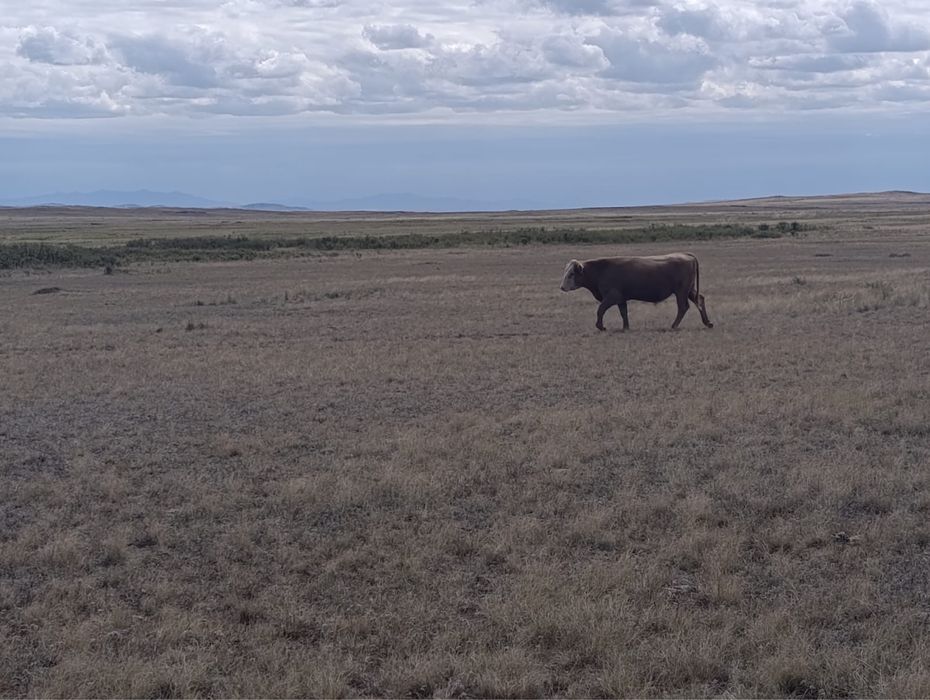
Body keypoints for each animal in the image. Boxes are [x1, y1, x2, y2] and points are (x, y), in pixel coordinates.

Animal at [560, 253, 713, 331]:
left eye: (571, 274)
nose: (562, 287)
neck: (600, 270)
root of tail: (687, 256)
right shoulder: (621, 299)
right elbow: (623, 313)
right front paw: (626, 327)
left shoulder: (612, 297)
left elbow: (600, 309)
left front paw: (601, 326)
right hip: (689, 290)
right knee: (700, 300)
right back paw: (707, 323)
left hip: (681, 292)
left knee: (683, 307)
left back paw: (674, 326)